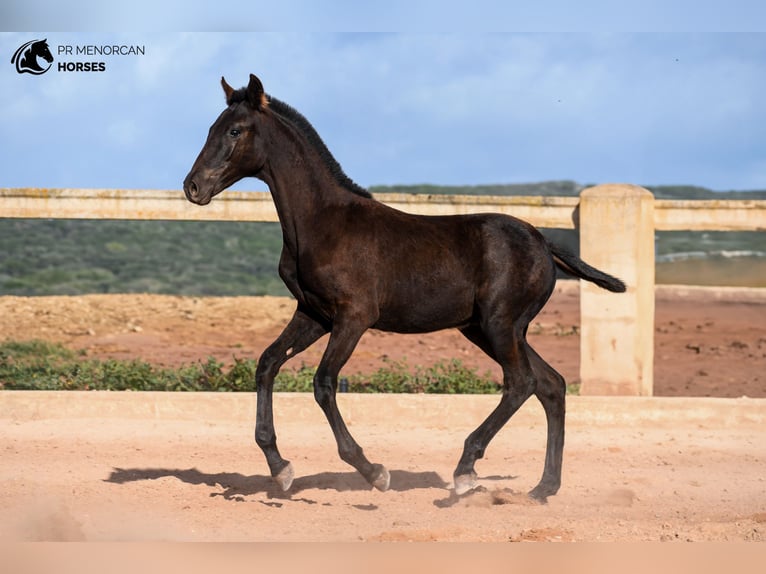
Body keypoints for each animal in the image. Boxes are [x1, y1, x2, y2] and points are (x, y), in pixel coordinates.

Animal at [183, 75, 628, 504]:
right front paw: (281, 469)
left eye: (235, 130)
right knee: (551, 385)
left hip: (500, 324)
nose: (192, 186)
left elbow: (324, 384)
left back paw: (466, 471)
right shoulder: (313, 314)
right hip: (489, 329)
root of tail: (543, 241)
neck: (322, 223)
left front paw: (374, 472)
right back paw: (542, 489)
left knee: (522, 383)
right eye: (210, 128)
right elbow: (267, 363)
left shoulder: (354, 316)